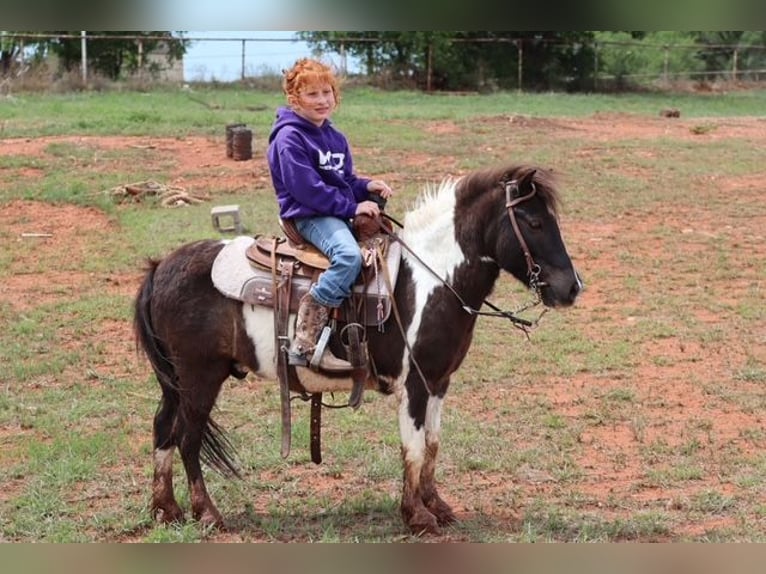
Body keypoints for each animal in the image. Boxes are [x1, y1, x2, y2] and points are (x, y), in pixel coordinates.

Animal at [133, 164, 582, 535]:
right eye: (534, 221)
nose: (572, 288)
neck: (430, 281)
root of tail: (161, 267)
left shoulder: (438, 382)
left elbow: (433, 444)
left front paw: (437, 506)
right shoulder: (414, 385)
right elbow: (413, 447)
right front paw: (417, 516)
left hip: (175, 379)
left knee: (162, 427)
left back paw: (166, 510)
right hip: (199, 376)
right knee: (187, 437)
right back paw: (207, 513)